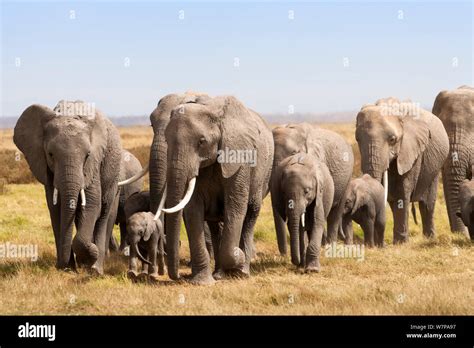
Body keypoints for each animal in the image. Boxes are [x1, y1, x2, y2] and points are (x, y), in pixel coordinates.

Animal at [159, 96, 272, 286]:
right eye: (167, 141)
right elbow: (193, 211)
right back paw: (220, 274)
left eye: (201, 141)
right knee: (215, 224)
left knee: (250, 214)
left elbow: (235, 208)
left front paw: (238, 257)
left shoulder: (239, 159)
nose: (179, 276)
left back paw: (242, 271)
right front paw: (202, 282)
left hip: (263, 174)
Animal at [356, 96, 448, 243]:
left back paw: (429, 238)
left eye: (392, 140)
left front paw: (401, 243)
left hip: (435, 166)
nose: (376, 244)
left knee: (427, 204)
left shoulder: (411, 151)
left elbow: (401, 194)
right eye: (357, 139)